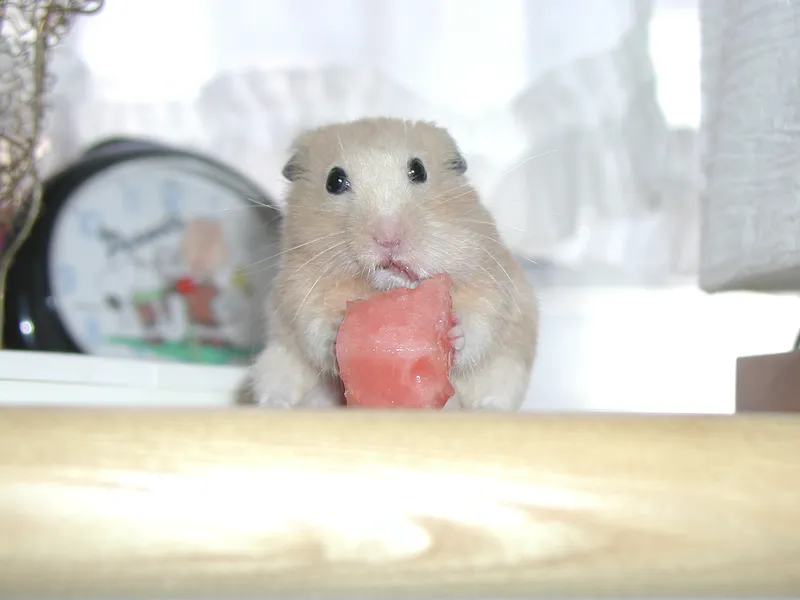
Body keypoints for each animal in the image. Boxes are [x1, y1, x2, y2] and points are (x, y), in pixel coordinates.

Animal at [250, 117, 539, 411]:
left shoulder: (490, 275)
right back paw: (278, 405)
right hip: (274, 363)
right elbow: (314, 327)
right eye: (334, 181)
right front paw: (336, 336)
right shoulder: (296, 289)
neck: (385, 289)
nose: (388, 239)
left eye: (418, 170)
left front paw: (455, 333)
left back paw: (486, 409)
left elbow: (481, 320)